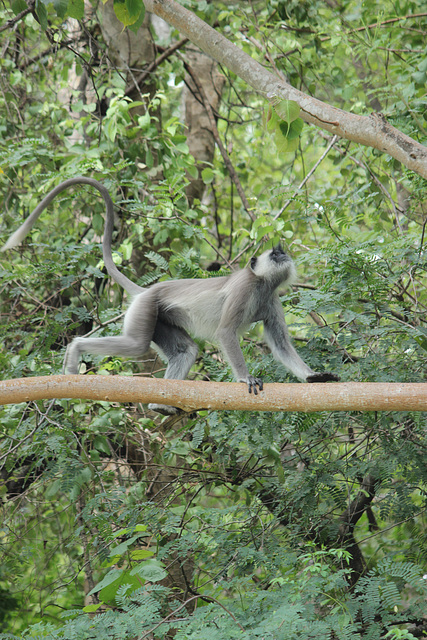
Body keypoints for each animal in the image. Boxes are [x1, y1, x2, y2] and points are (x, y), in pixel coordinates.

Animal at [1, 176, 340, 416]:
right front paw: (244, 378)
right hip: (146, 308)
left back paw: (159, 405)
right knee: (137, 345)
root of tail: (149, 289)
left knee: (185, 351)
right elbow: (226, 331)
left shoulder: (270, 297)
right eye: (275, 253)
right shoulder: (245, 288)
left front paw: (313, 377)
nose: (284, 254)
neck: (262, 283)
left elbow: (281, 345)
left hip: (160, 317)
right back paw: (76, 349)